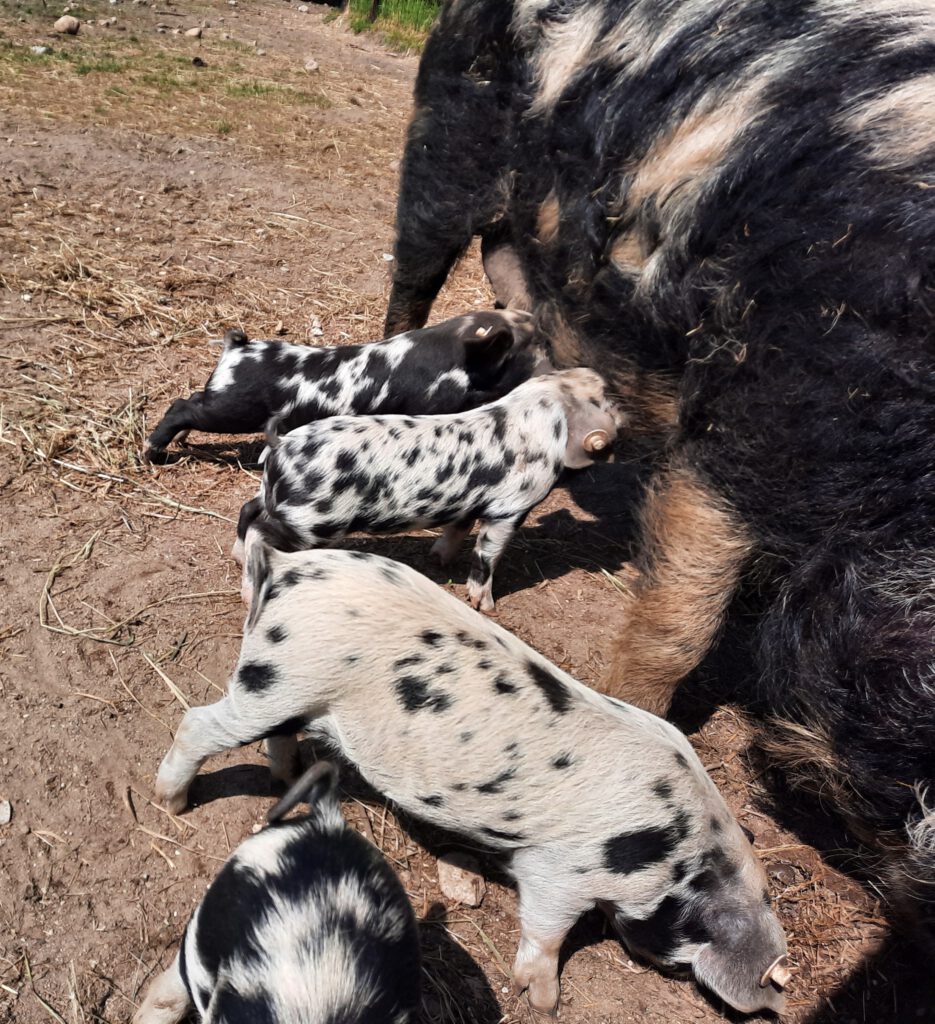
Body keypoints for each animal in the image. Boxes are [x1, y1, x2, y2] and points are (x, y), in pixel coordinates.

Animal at [142, 307, 544, 460]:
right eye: (526, 344)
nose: (532, 316)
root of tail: (238, 349)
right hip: (233, 409)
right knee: (181, 406)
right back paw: (152, 453)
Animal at [153, 544, 786, 1015]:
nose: (666, 970)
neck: (673, 854)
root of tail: (285, 568)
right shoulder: (560, 871)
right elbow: (547, 930)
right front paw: (545, 1000)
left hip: (293, 695)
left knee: (279, 737)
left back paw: (284, 775)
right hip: (277, 679)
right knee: (197, 724)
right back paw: (172, 801)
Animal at [237, 368, 618, 606]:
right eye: (603, 397)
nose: (602, 376)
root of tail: (282, 443)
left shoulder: (469, 504)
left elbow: (458, 528)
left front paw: (439, 560)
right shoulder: (510, 507)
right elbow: (488, 555)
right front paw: (486, 607)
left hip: (275, 496)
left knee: (248, 510)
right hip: (314, 521)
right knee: (260, 532)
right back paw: (250, 591)